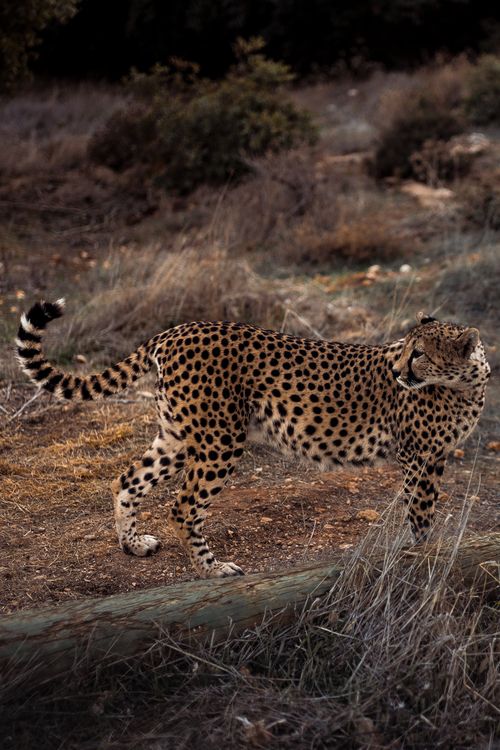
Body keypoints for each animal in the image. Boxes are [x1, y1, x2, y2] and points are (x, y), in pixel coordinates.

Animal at [16, 300, 490, 579]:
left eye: (420, 352)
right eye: (407, 348)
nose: (397, 370)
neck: (469, 382)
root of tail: (176, 330)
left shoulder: (434, 455)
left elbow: (423, 509)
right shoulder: (418, 455)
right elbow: (420, 511)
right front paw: (424, 554)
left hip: (178, 435)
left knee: (127, 480)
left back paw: (133, 544)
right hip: (219, 439)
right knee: (183, 506)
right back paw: (213, 570)